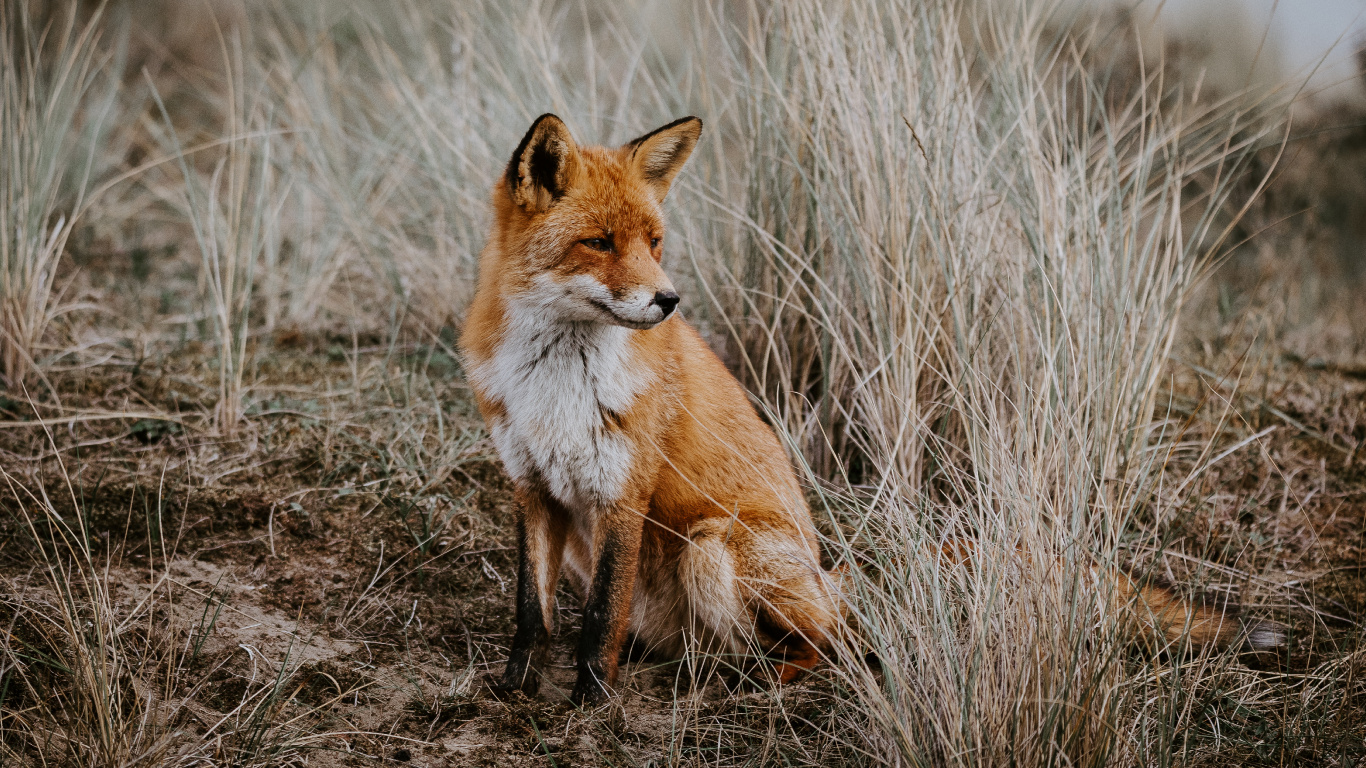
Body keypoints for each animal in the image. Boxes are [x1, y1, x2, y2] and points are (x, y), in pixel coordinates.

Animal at [464, 110, 1284, 705]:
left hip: (715, 546)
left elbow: (598, 619)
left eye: (655, 241)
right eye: (599, 243)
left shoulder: (622, 493)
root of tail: (831, 572)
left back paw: (761, 683)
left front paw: (590, 705)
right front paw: (513, 691)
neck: (554, 381)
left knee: (837, 646)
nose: (668, 301)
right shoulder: (533, 486)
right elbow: (533, 613)